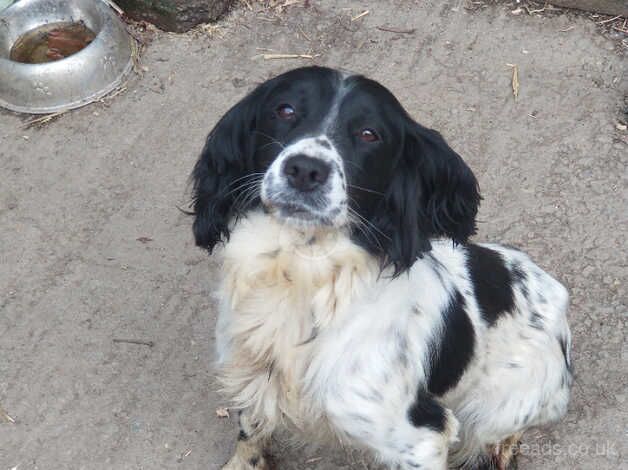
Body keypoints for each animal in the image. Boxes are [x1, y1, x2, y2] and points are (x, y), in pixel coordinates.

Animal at [190, 67, 568, 470]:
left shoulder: (420, 437)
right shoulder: (255, 377)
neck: (302, 276)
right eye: (285, 110)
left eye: (369, 134)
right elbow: (251, 432)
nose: (305, 169)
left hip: (499, 408)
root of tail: (556, 293)